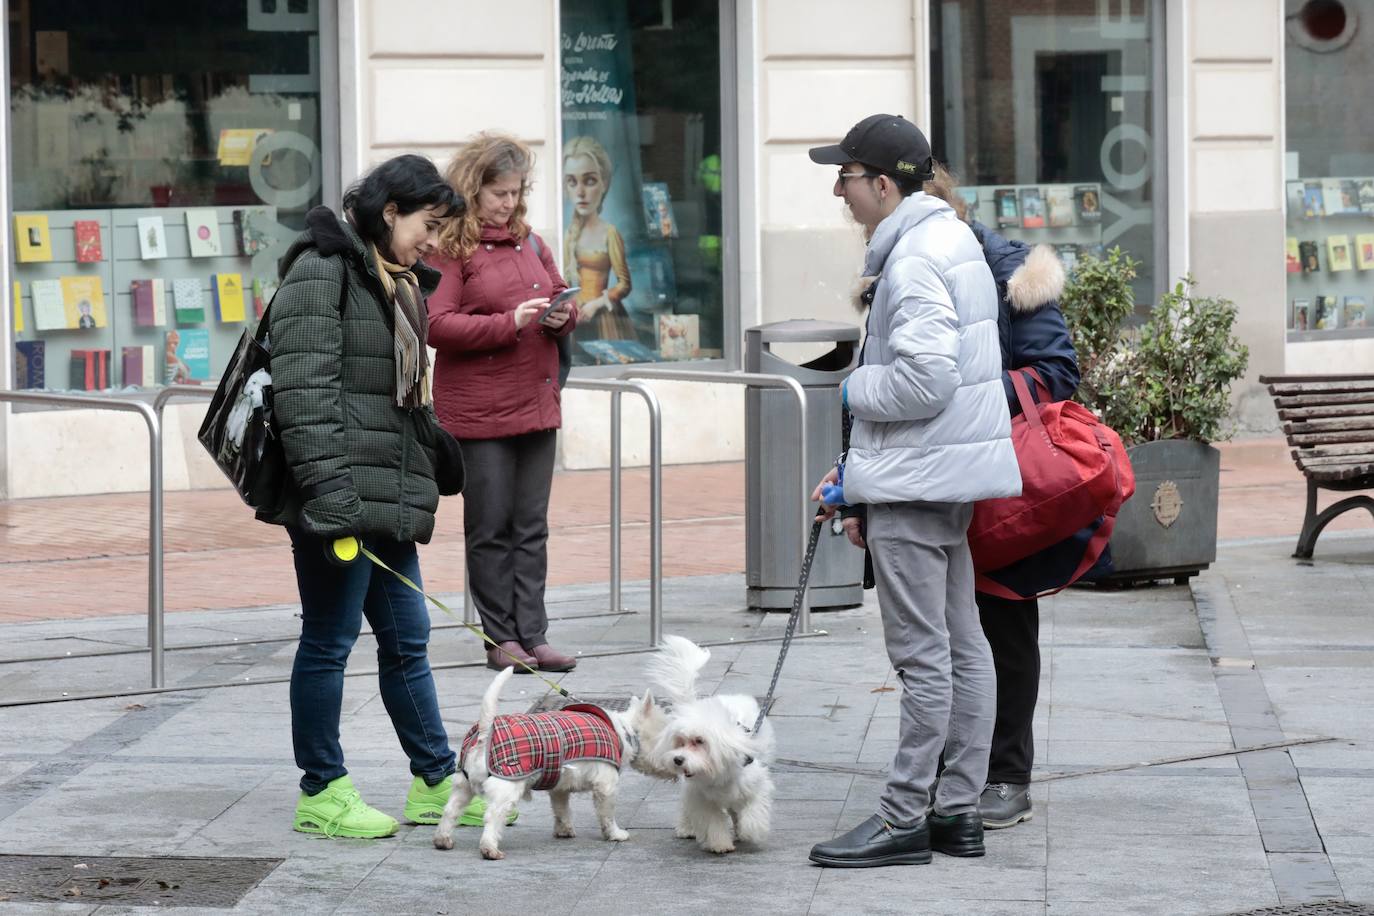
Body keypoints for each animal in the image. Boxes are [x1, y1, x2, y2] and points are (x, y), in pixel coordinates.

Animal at [425, 667, 667, 862]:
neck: (623, 731)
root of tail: (485, 733)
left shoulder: (559, 787)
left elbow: (561, 809)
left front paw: (564, 830)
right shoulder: (605, 785)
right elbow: (607, 814)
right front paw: (616, 834)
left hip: (462, 784)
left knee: (451, 810)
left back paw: (442, 840)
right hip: (506, 786)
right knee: (493, 816)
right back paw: (490, 849)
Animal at [643, 634, 774, 856]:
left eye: (699, 741)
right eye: (680, 742)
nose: (678, 759)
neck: (717, 775)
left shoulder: (754, 785)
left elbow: (753, 809)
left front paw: (749, 830)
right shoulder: (701, 798)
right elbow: (712, 822)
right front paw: (720, 844)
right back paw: (686, 828)